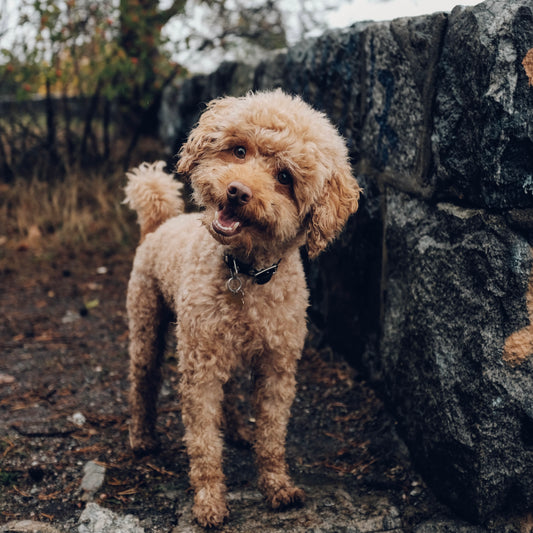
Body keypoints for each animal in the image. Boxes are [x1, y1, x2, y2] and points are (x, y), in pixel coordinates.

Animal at [122, 89, 360, 524]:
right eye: (238, 150)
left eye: (285, 177)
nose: (237, 191)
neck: (245, 272)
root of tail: (159, 224)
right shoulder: (199, 369)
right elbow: (203, 442)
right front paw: (209, 502)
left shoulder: (277, 367)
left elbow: (272, 435)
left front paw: (278, 486)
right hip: (147, 322)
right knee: (142, 381)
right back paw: (143, 437)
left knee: (229, 390)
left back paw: (236, 430)